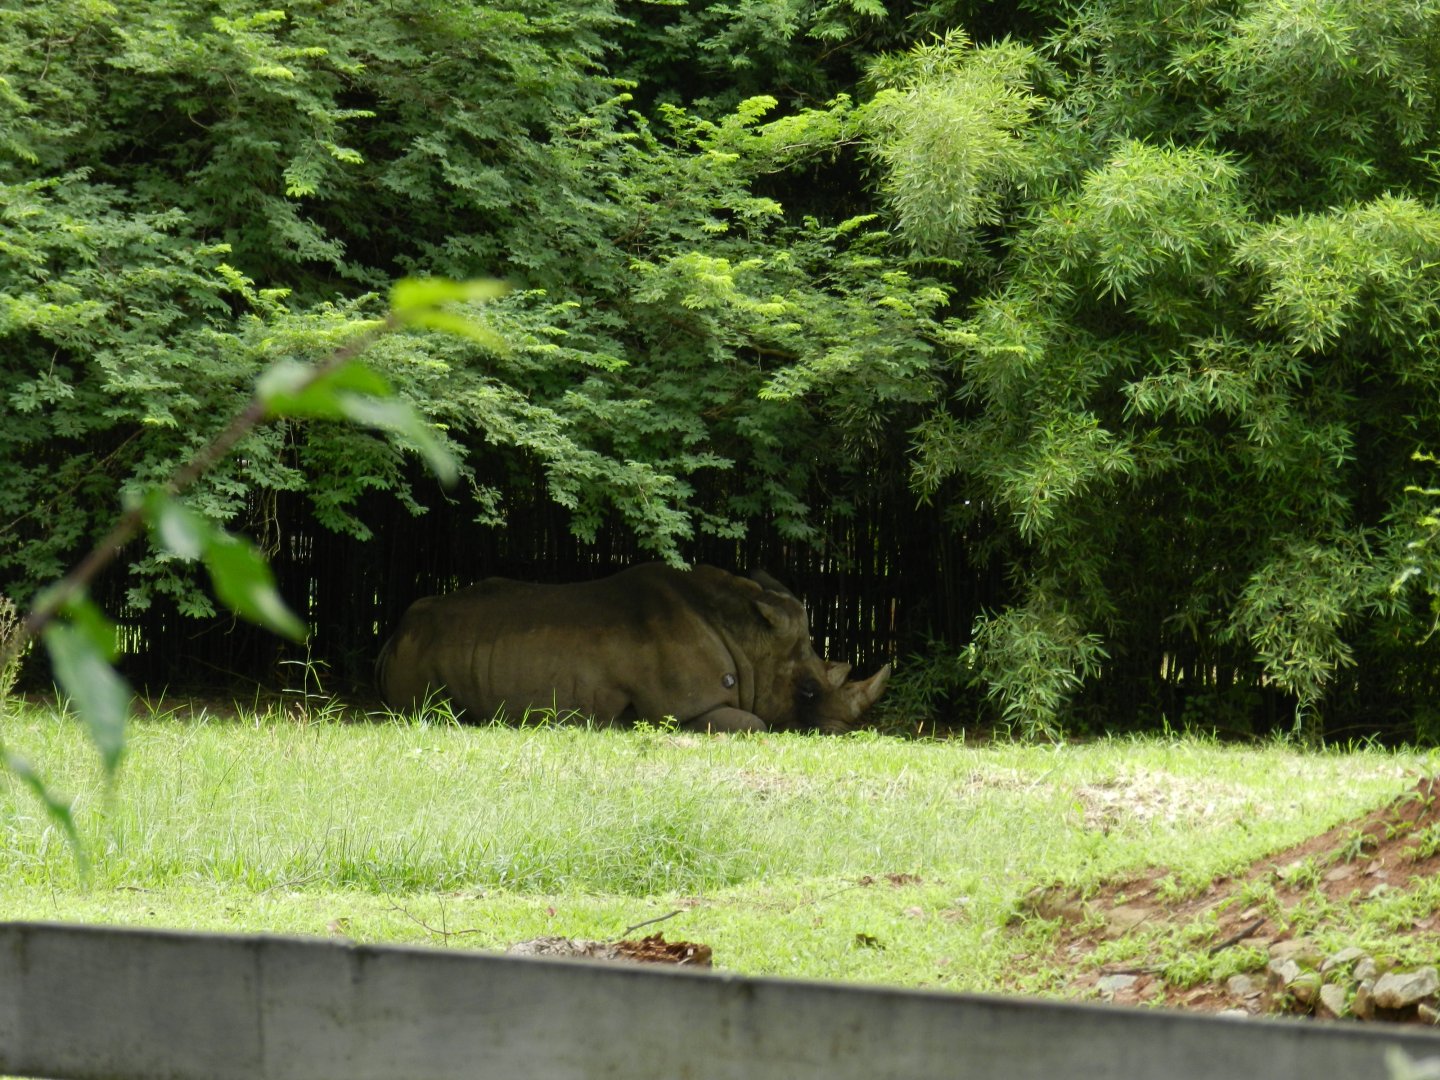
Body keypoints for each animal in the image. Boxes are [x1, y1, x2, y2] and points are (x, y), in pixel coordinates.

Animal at [376, 563, 890, 733]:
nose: (844, 730)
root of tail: (394, 632)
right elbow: (756, 723)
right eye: (806, 691)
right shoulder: (688, 707)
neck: (746, 637)